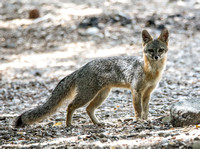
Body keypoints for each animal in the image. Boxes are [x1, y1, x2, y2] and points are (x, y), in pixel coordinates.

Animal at [14, 28, 169, 127]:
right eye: (151, 50)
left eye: (160, 50)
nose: (156, 57)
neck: (151, 72)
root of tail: (82, 68)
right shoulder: (136, 90)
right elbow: (138, 109)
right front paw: (139, 120)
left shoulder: (147, 93)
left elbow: (146, 109)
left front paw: (146, 119)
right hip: (87, 95)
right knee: (70, 106)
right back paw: (69, 124)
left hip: (101, 95)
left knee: (88, 109)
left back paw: (97, 123)